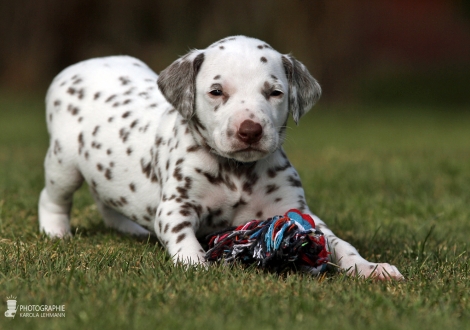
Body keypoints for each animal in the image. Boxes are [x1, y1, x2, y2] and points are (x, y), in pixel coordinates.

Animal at [37, 35, 404, 278]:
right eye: (216, 91)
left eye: (275, 92)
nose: (250, 130)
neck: (237, 172)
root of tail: (83, 64)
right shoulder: (177, 207)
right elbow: (182, 236)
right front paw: (197, 264)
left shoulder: (296, 211)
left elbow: (338, 243)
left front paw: (370, 267)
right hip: (63, 164)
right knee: (52, 197)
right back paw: (56, 231)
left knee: (106, 200)